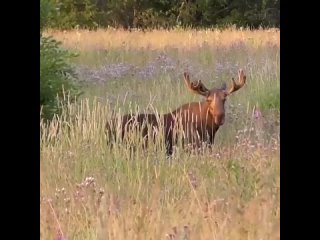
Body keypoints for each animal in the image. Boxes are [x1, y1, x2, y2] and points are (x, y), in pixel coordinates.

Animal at [106, 69, 246, 156]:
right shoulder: (192, 146)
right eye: (208, 100)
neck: (208, 129)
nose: (220, 117)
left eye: (224, 99)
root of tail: (106, 126)